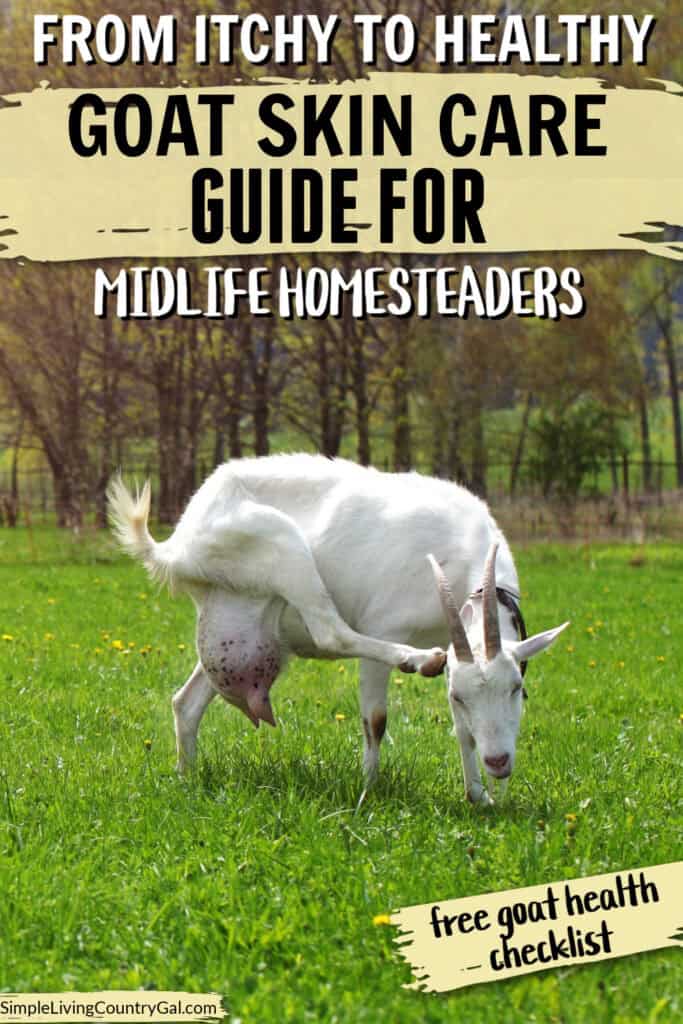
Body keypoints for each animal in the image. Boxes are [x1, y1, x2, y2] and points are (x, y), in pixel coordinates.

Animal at [108, 454, 568, 804]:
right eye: (460, 696)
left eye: (516, 688)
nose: (498, 763)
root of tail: (179, 540)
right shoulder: (386, 625)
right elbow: (375, 720)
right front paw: (369, 791)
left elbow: (461, 731)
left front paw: (479, 796)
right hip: (285, 549)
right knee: (331, 631)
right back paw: (417, 659)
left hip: (239, 628)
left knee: (185, 702)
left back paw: (186, 779)